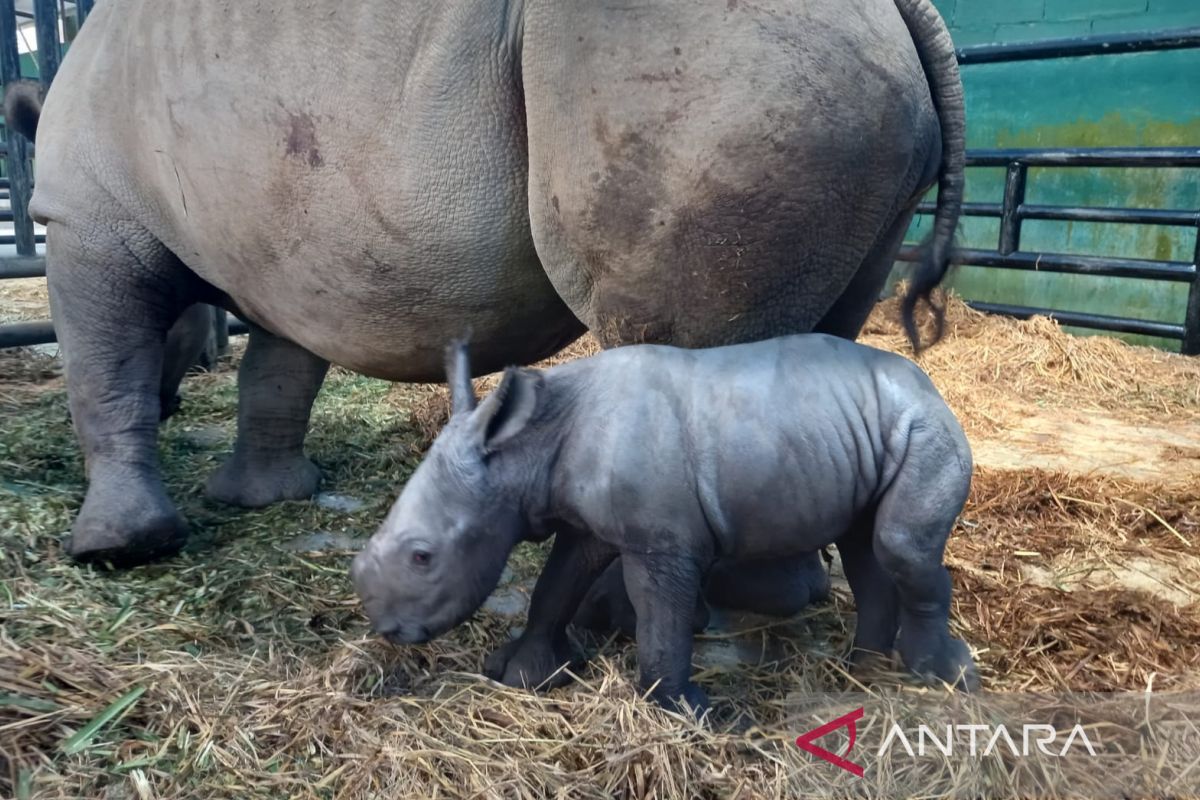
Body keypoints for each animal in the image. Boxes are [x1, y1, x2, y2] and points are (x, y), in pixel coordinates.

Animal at [350, 335, 979, 710]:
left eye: (423, 557)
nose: (385, 626)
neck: (524, 447)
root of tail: (928, 383)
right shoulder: (587, 525)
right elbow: (556, 586)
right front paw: (524, 675)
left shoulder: (663, 543)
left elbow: (663, 619)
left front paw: (693, 711)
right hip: (864, 428)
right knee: (862, 546)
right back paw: (863, 670)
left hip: (924, 426)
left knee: (900, 546)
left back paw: (941, 676)